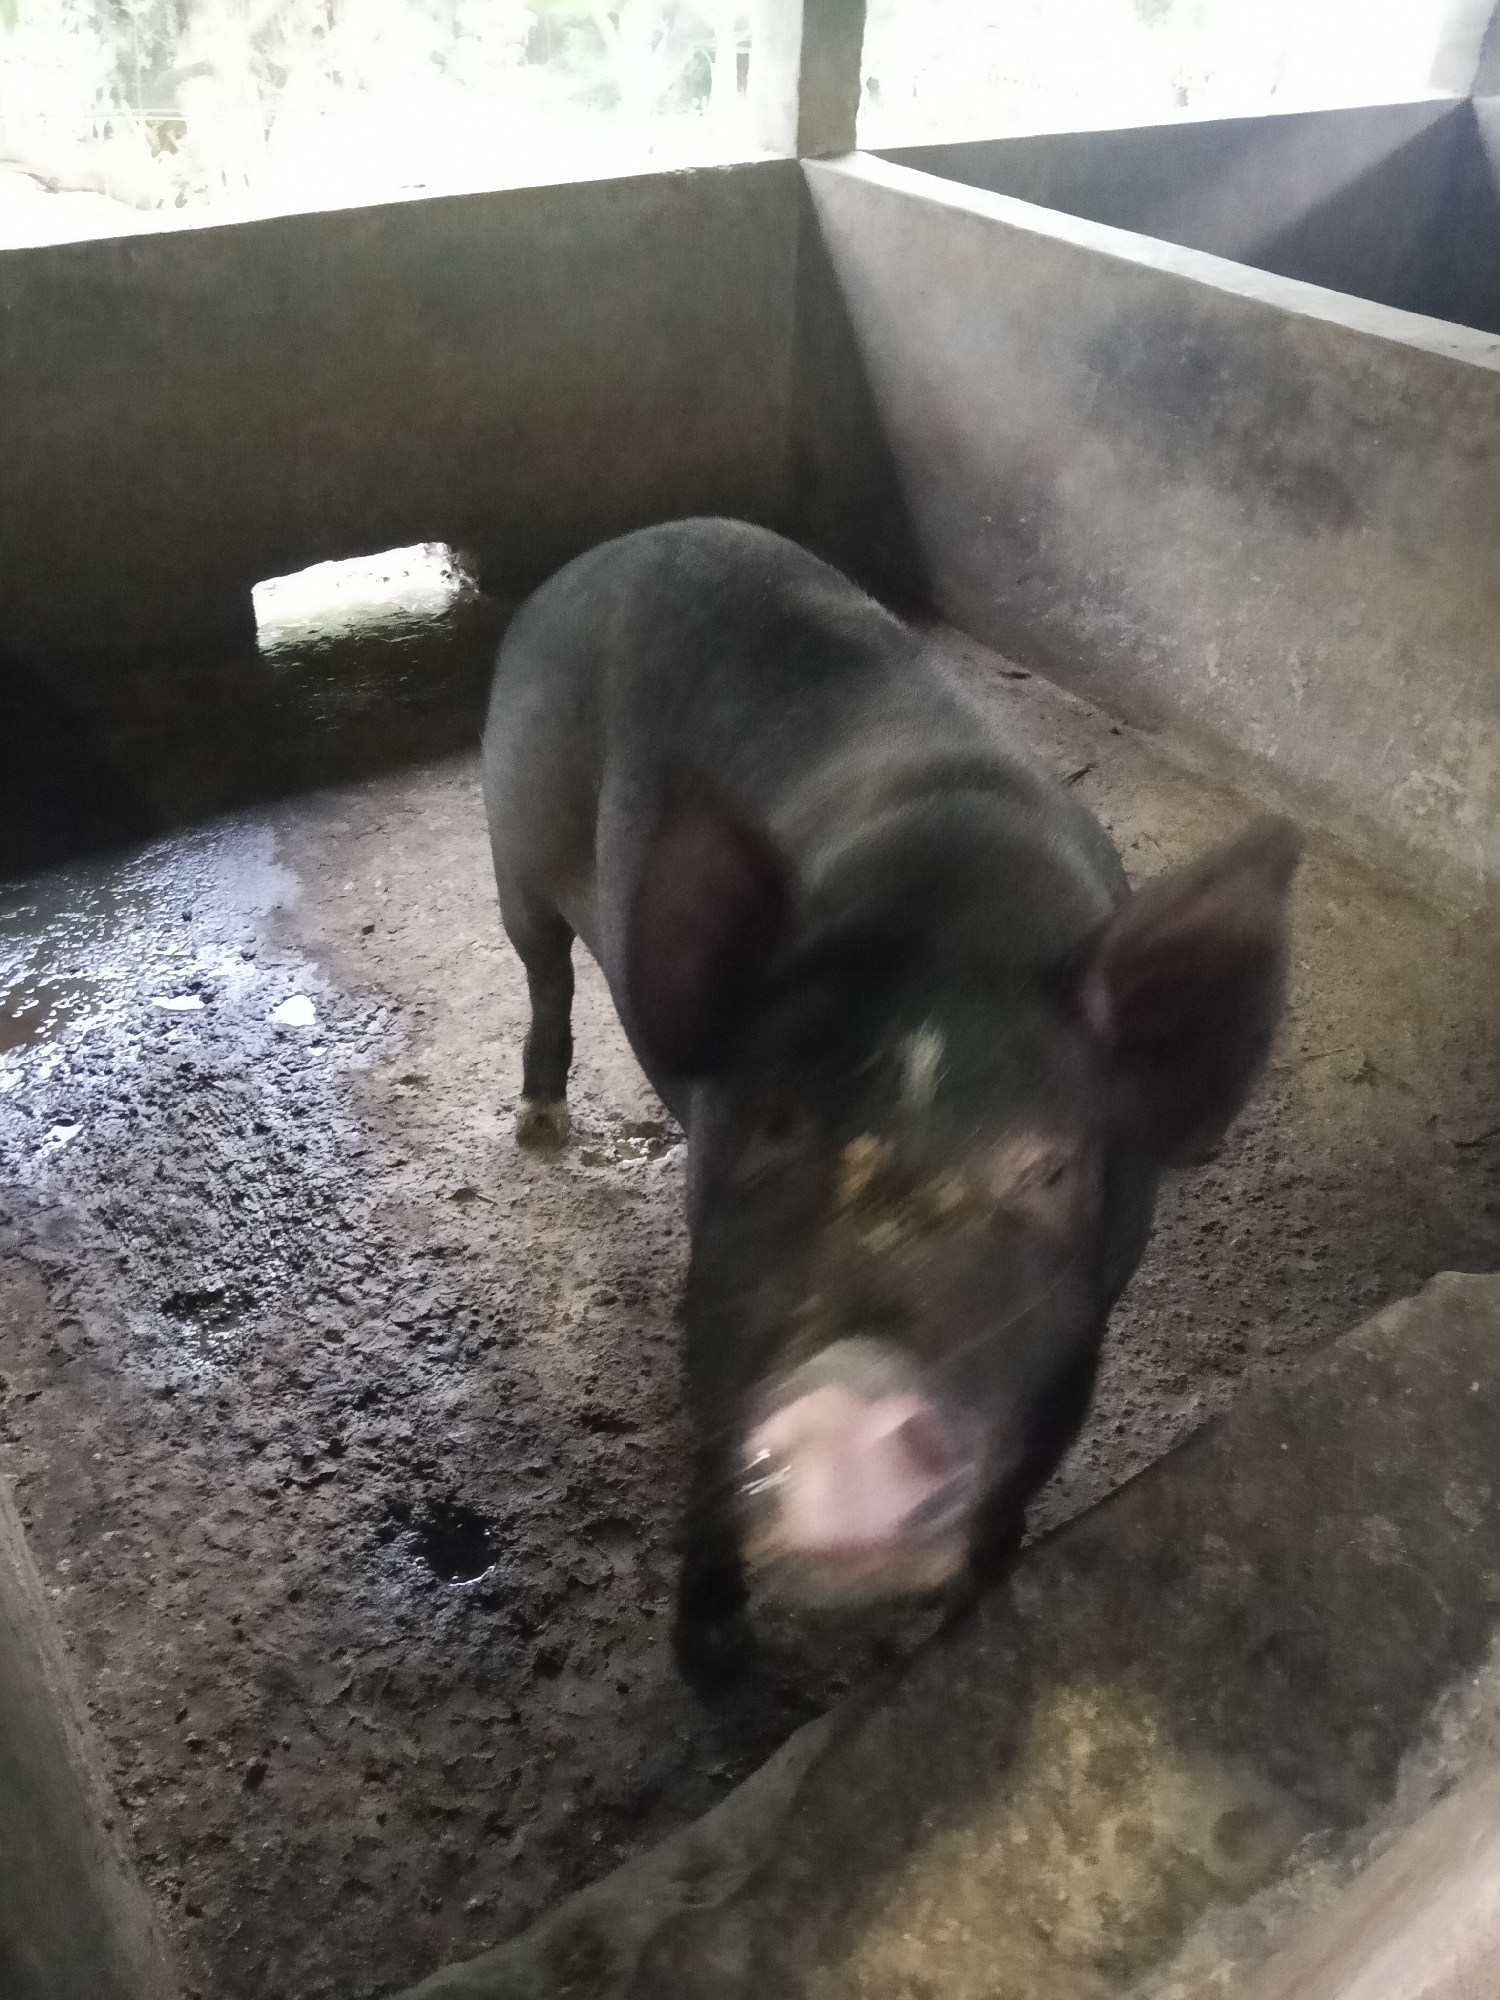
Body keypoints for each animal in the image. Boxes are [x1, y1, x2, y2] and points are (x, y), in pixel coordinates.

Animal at [482, 518, 1301, 1686]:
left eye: (1049, 1166)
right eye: (772, 1128)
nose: (849, 1412)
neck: (951, 928)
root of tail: (609, 550)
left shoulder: (1076, 1338)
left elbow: (1015, 1492)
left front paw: (968, 1624)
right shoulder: (717, 1301)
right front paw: (712, 1664)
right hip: (511, 840)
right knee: (544, 970)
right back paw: (540, 1123)